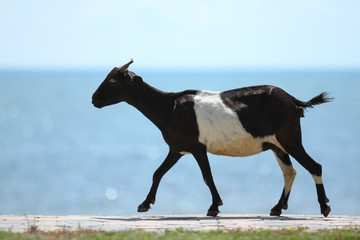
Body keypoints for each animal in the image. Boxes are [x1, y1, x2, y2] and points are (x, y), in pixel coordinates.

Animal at [92, 58, 332, 218]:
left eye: (113, 80)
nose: (94, 99)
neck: (170, 108)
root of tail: (293, 101)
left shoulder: (197, 147)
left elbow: (207, 176)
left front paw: (214, 207)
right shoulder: (177, 148)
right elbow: (157, 172)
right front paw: (144, 204)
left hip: (289, 138)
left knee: (314, 166)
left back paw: (324, 207)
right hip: (276, 144)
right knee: (290, 172)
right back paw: (276, 208)